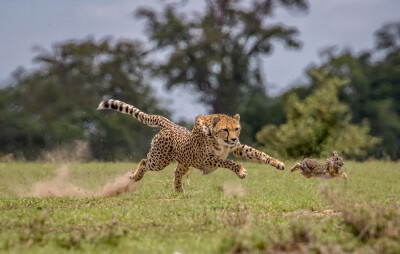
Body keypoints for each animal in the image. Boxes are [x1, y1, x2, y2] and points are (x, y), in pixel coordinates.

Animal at [97, 99, 284, 190]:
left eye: (236, 129)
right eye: (225, 130)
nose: (232, 138)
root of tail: (171, 125)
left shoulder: (237, 148)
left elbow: (258, 153)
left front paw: (278, 163)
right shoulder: (206, 159)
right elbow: (227, 162)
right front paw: (240, 170)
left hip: (183, 163)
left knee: (176, 173)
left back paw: (179, 191)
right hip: (160, 160)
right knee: (145, 162)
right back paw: (135, 177)